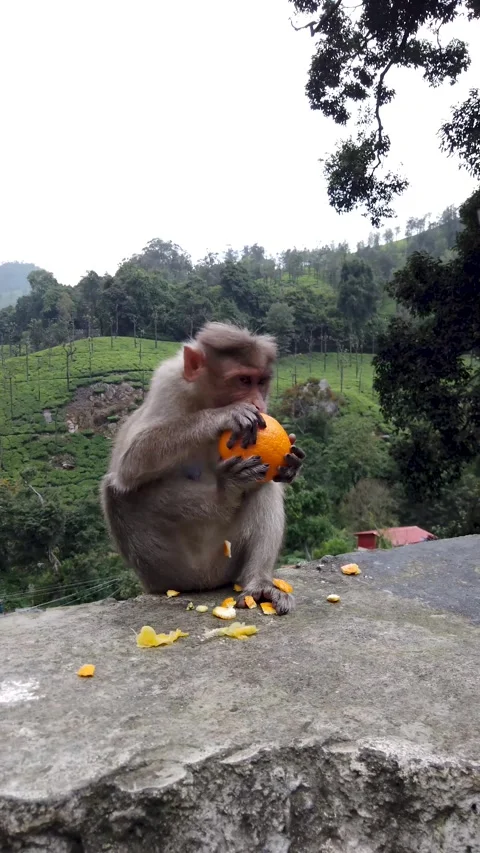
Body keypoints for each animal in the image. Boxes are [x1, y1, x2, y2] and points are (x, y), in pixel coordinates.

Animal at [100, 322, 305, 614]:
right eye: (243, 381)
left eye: (261, 382)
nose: (258, 404)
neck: (206, 400)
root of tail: (207, 582)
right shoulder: (168, 383)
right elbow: (131, 460)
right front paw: (222, 417)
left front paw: (291, 465)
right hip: (176, 569)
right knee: (116, 492)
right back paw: (224, 492)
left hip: (227, 559)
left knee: (262, 483)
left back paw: (259, 583)